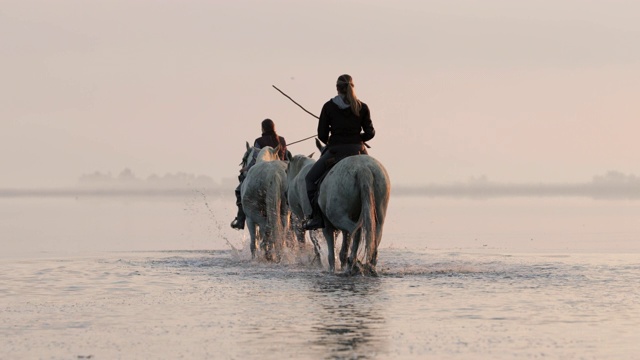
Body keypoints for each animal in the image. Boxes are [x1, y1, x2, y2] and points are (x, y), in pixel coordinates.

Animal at [316, 139, 390, 274]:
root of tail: (363, 169)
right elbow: (344, 248)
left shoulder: (327, 226)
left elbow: (332, 254)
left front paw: (333, 269)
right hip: (378, 215)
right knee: (373, 235)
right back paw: (368, 265)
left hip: (338, 217)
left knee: (356, 231)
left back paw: (353, 263)